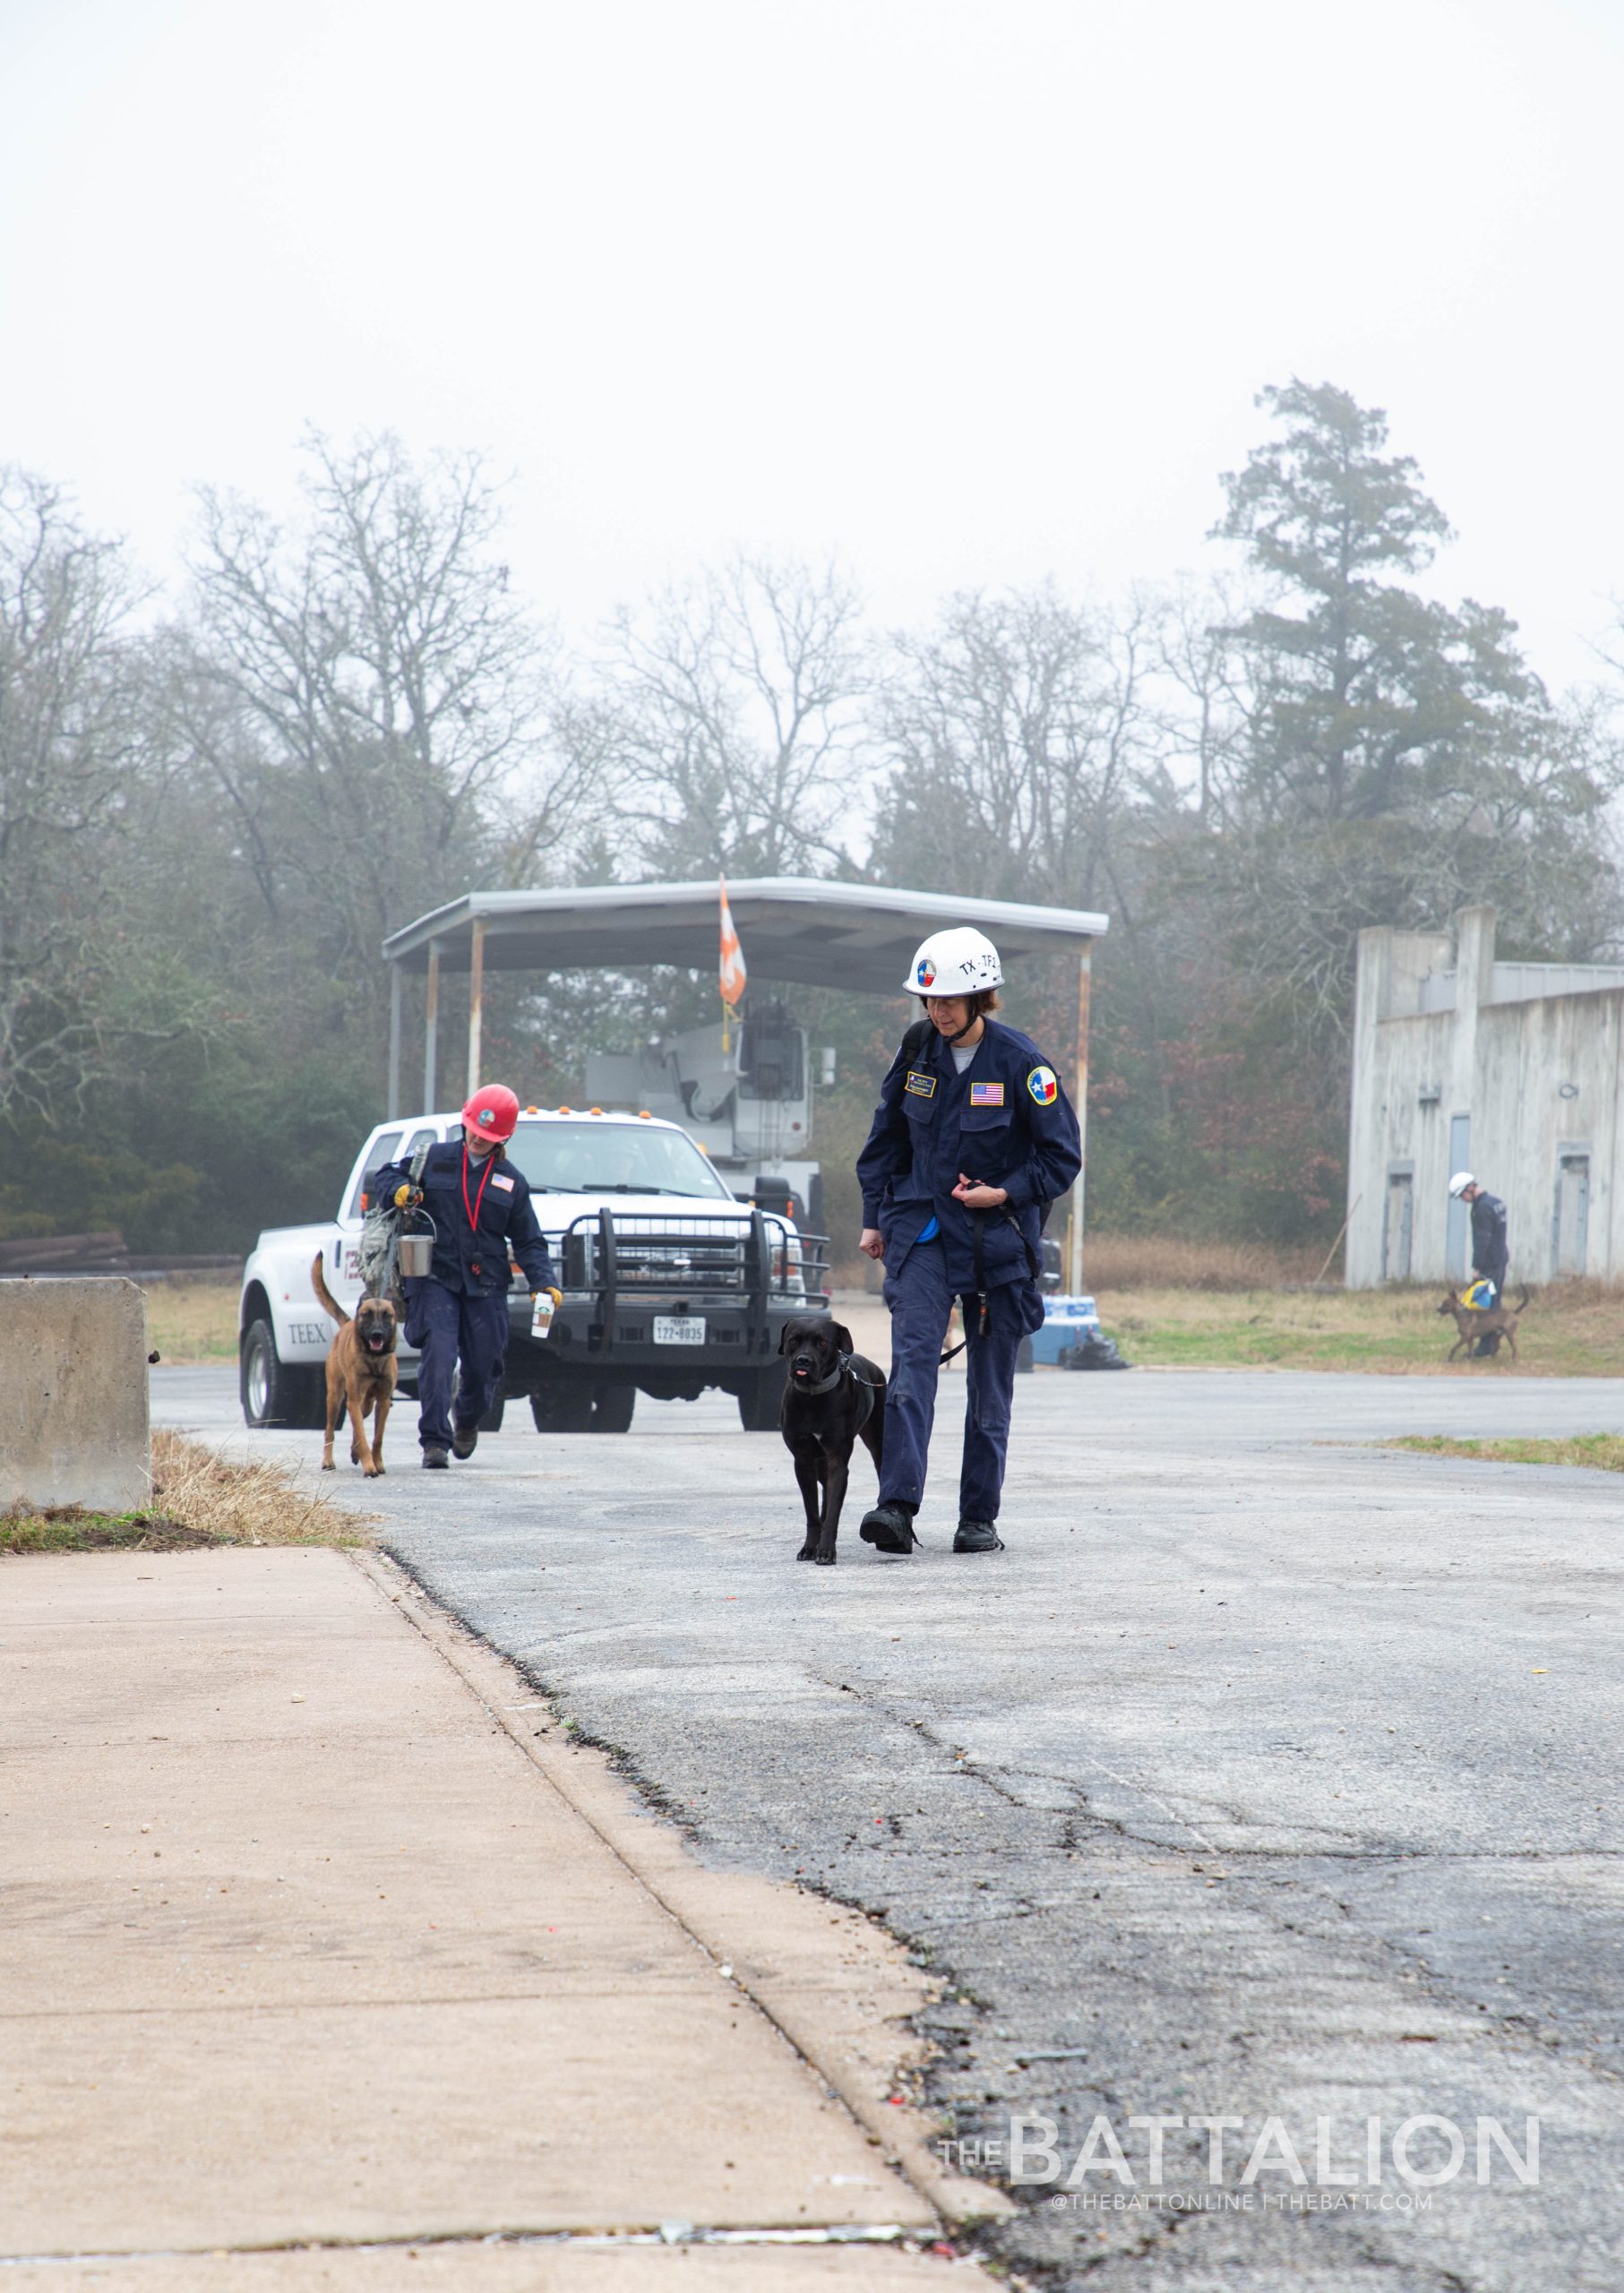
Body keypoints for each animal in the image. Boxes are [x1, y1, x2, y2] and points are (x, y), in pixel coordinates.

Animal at [312, 1247, 399, 1476]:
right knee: (330, 1431)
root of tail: (347, 1323)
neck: (374, 1359)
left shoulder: (383, 1401)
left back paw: (354, 1451)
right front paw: (369, 1467)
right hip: (335, 1397)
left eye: (387, 1315)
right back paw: (328, 1461)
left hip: (364, 1402)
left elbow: (377, 1439)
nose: (377, 1334)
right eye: (367, 1315)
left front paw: (377, 1463)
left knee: (359, 1417)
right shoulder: (353, 1398)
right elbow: (362, 1436)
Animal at [775, 1320, 889, 1568]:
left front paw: (826, 1551)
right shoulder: (803, 1461)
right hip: (820, 1465)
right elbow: (812, 1512)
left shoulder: (838, 1460)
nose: (803, 1360)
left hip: (877, 1441)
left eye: (822, 1343)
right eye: (793, 1341)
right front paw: (809, 1548)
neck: (812, 1396)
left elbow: (833, 1512)